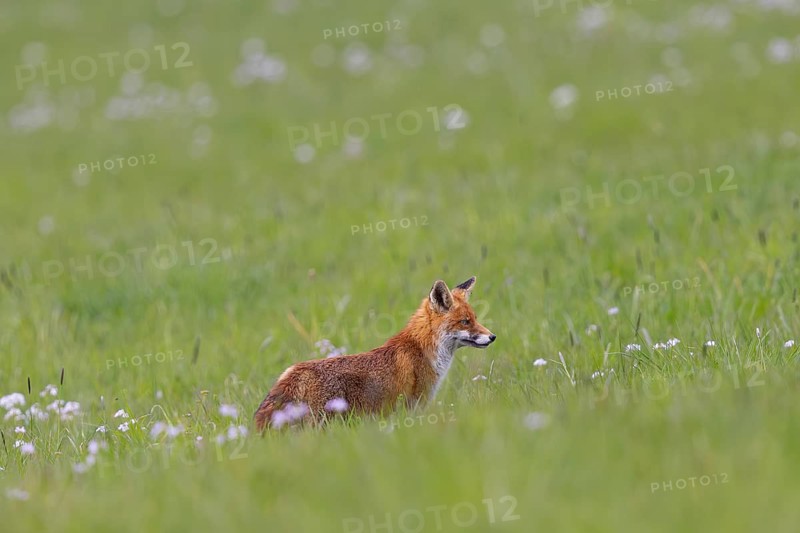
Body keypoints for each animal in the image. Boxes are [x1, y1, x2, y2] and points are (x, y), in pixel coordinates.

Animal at [254, 276, 495, 431]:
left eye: (475, 319)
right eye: (466, 321)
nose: (493, 336)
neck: (421, 349)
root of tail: (294, 371)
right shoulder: (414, 406)